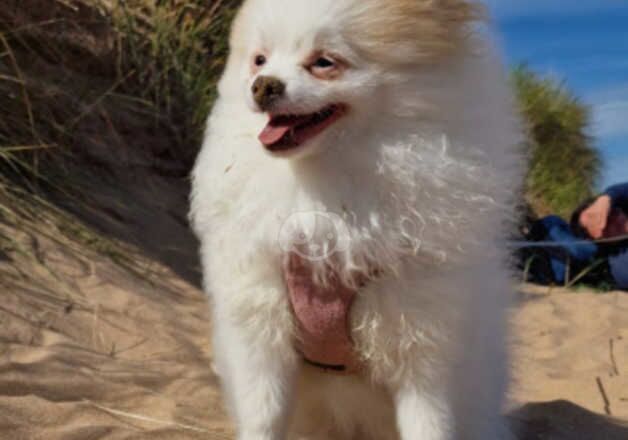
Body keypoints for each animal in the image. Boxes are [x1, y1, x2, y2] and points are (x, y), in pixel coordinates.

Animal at [190, 0, 520, 440]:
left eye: (324, 62)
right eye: (259, 60)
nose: (263, 85)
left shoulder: (422, 344)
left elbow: (428, 422)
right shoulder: (262, 330)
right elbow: (264, 417)